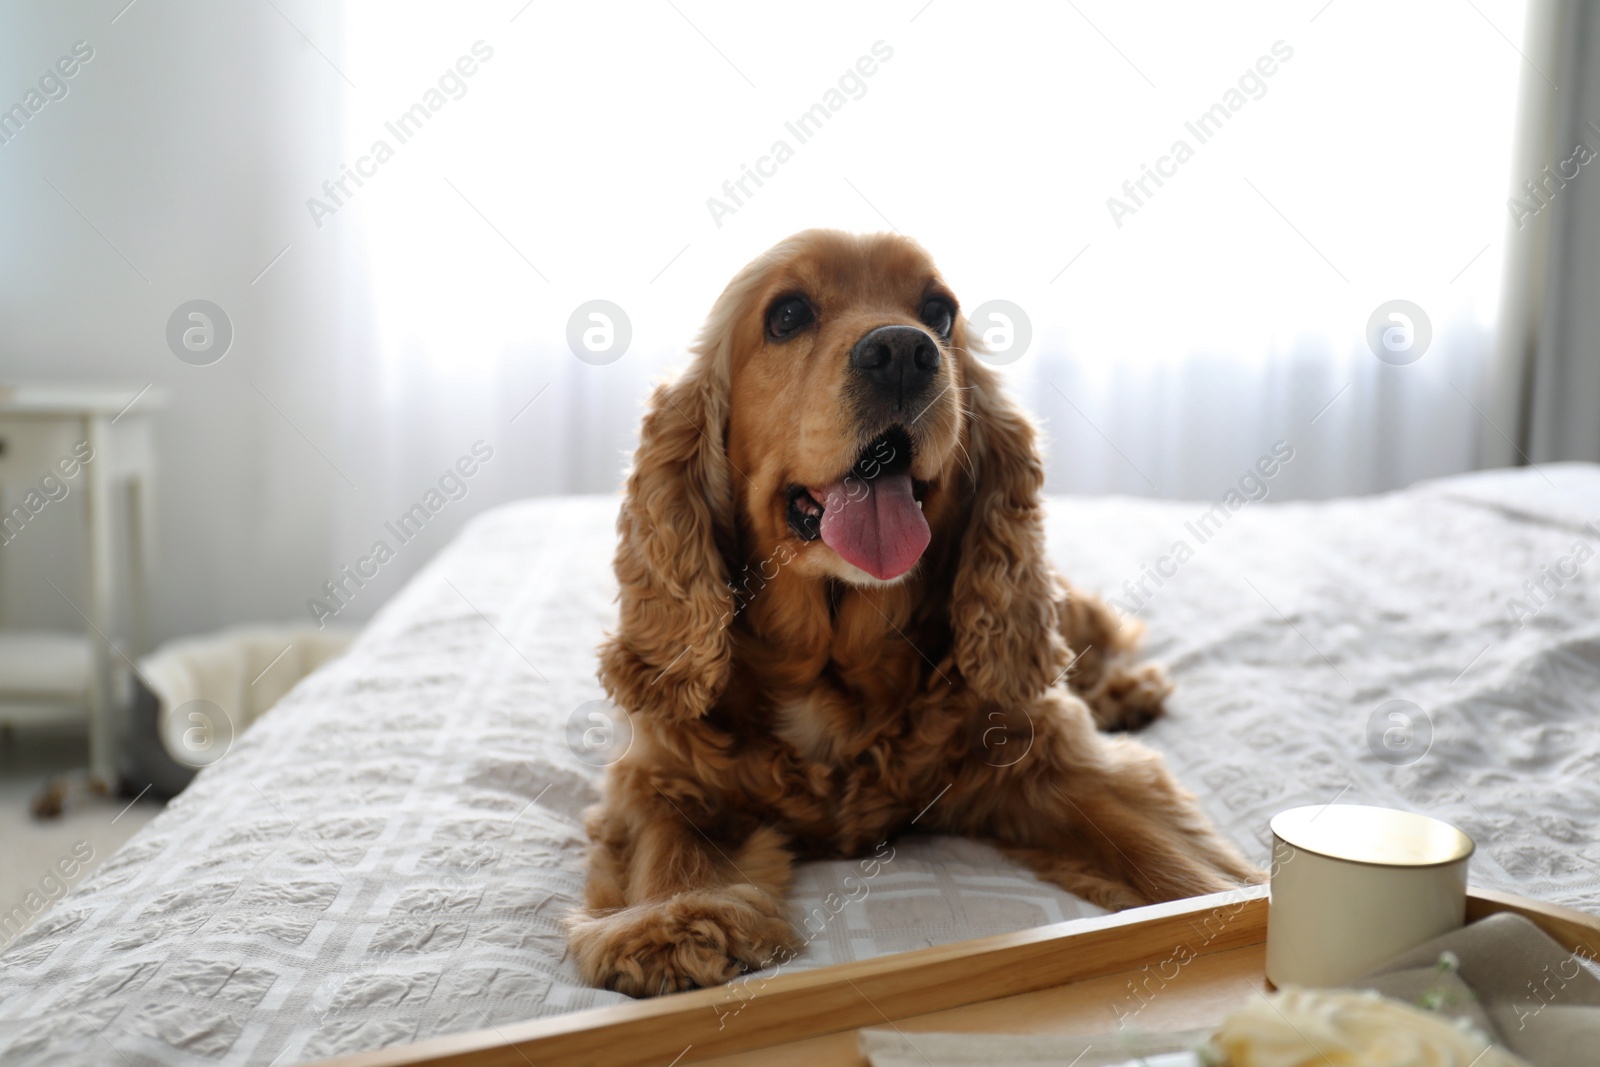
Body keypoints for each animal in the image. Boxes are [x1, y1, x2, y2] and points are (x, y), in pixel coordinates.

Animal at [566, 230, 1260, 998]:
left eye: (940, 313)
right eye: (786, 315)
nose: (903, 350)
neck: (832, 667)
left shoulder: (1055, 757)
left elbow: (1172, 857)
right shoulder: (660, 769)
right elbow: (669, 841)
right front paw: (672, 921)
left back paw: (1122, 689)